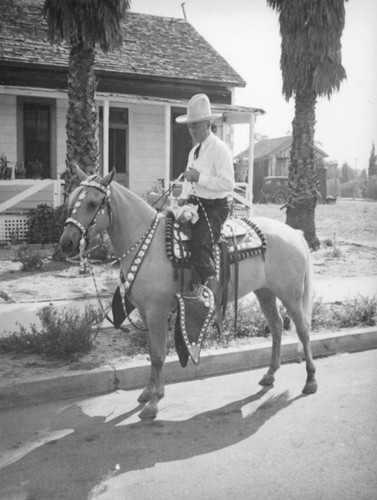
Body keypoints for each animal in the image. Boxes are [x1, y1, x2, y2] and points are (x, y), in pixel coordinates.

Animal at [59, 167, 318, 418]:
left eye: (93, 203)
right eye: (70, 201)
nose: (66, 243)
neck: (148, 245)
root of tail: (294, 233)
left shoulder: (157, 311)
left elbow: (159, 356)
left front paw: (154, 402)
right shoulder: (144, 312)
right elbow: (152, 352)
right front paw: (148, 392)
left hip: (291, 295)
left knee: (303, 330)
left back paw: (310, 380)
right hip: (266, 292)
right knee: (276, 327)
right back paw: (270, 374)